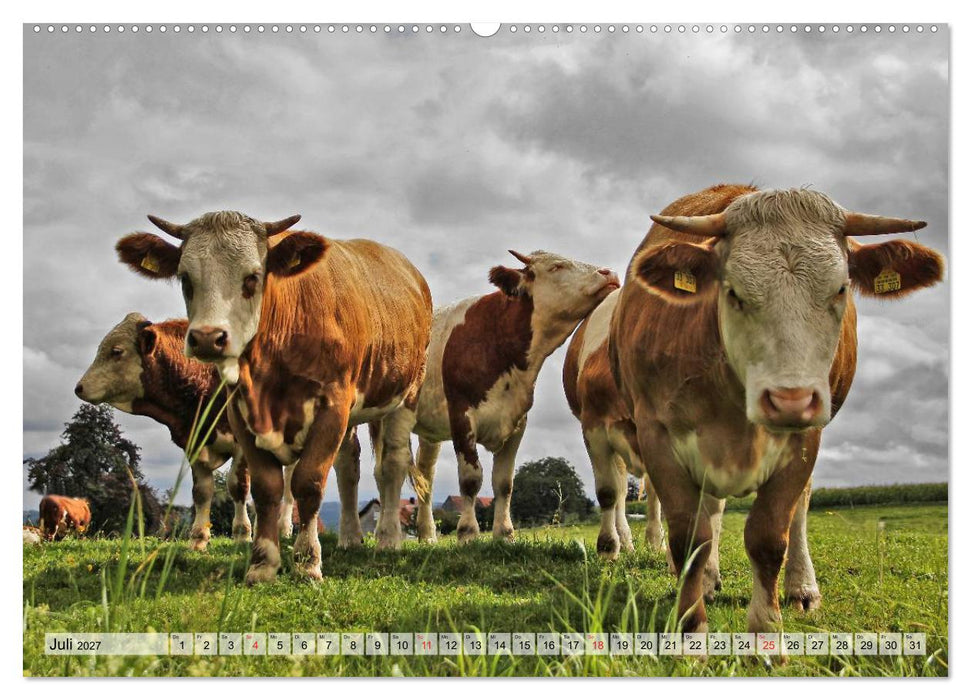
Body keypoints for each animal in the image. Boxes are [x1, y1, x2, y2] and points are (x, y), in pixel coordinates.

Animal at [76, 313, 252, 550]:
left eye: (117, 351)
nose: (79, 387)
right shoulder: (194, 445)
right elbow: (202, 491)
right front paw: (198, 539)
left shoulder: (243, 443)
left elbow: (237, 486)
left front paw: (243, 536)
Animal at [115, 211, 432, 583]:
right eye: (185, 278)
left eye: (253, 277)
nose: (208, 337)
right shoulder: (240, 413)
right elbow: (267, 488)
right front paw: (263, 562)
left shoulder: (333, 405)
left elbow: (308, 482)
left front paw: (307, 562)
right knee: (348, 465)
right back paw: (351, 536)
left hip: (405, 393)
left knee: (392, 464)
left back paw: (387, 538)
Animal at [377, 250, 619, 545]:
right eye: (556, 266)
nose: (609, 273)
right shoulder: (461, 416)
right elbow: (471, 479)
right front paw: (468, 533)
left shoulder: (517, 421)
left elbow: (504, 483)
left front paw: (504, 534)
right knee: (385, 471)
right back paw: (384, 533)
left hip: (428, 430)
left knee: (425, 474)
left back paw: (427, 535)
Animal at [563, 288, 666, 560]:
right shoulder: (595, 431)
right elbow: (608, 492)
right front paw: (608, 547)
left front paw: (659, 543)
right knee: (619, 493)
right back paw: (626, 543)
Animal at [608, 184, 944, 633]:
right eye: (733, 291)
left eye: (841, 289)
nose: (791, 399)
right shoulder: (657, 433)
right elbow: (690, 537)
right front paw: (691, 622)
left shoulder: (805, 439)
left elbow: (769, 535)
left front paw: (767, 626)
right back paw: (709, 582)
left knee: (798, 509)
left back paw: (802, 587)